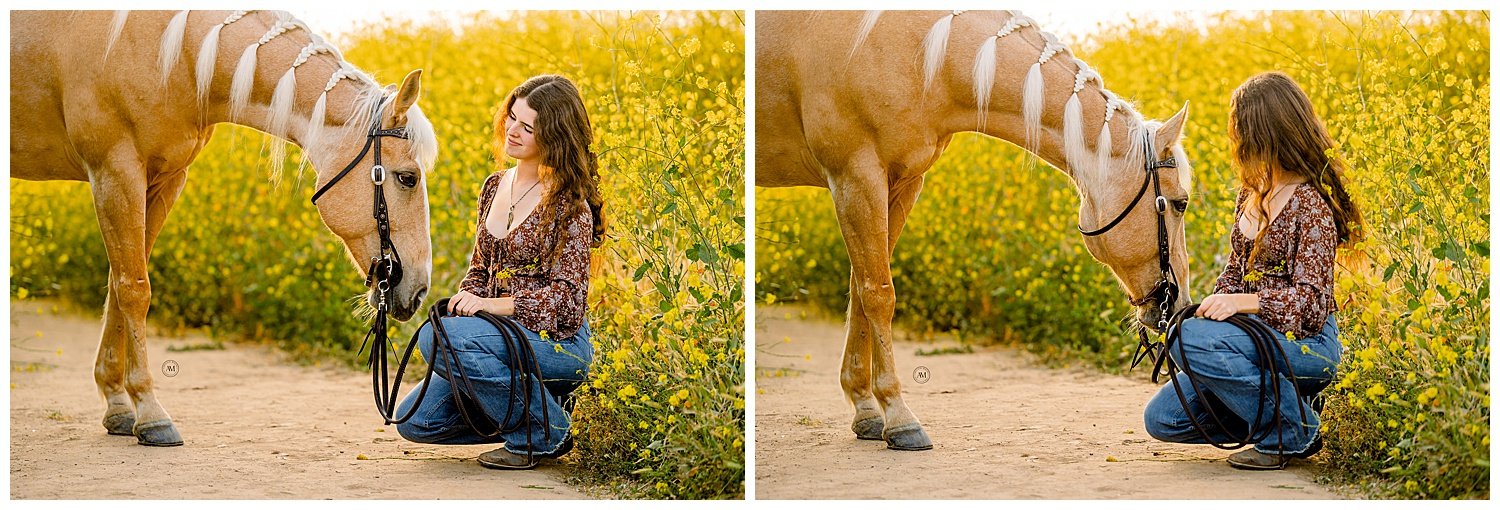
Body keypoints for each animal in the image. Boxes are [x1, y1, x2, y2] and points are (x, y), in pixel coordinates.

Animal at [8, 8, 438, 447]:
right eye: (407, 178)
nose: (419, 291)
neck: (174, 53)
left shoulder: (163, 180)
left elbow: (119, 283)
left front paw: (117, 406)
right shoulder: (114, 172)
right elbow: (133, 289)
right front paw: (150, 413)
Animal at [762, 9, 1194, 450]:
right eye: (1179, 202)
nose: (1180, 304)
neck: (923, 57)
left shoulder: (900, 184)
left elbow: (861, 290)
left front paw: (865, 409)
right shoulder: (855, 176)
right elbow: (878, 295)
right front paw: (899, 418)